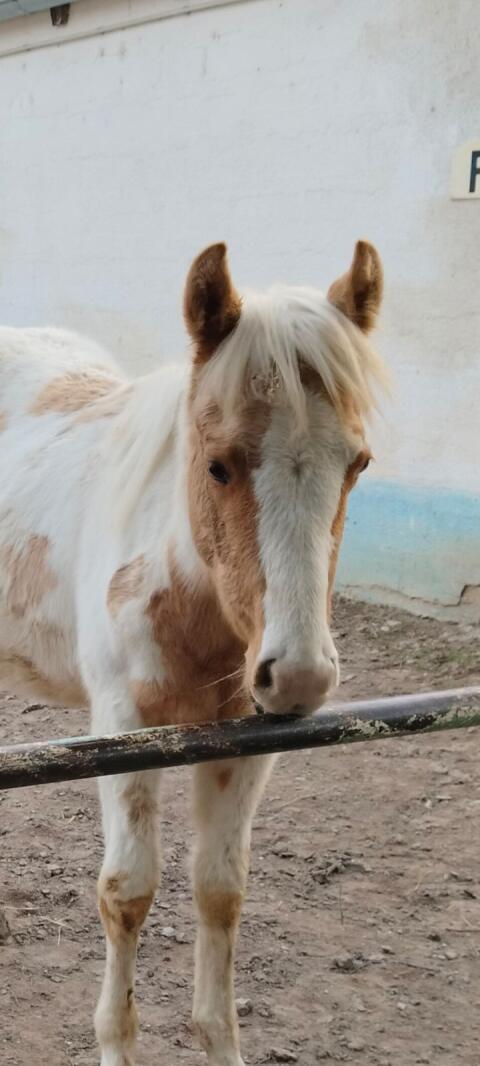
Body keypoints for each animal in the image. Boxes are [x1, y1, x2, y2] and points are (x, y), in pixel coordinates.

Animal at [0, 240, 386, 1065]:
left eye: (358, 463)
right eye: (217, 464)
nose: (299, 673)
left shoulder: (247, 741)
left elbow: (220, 888)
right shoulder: (121, 729)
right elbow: (127, 893)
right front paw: (116, 1042)